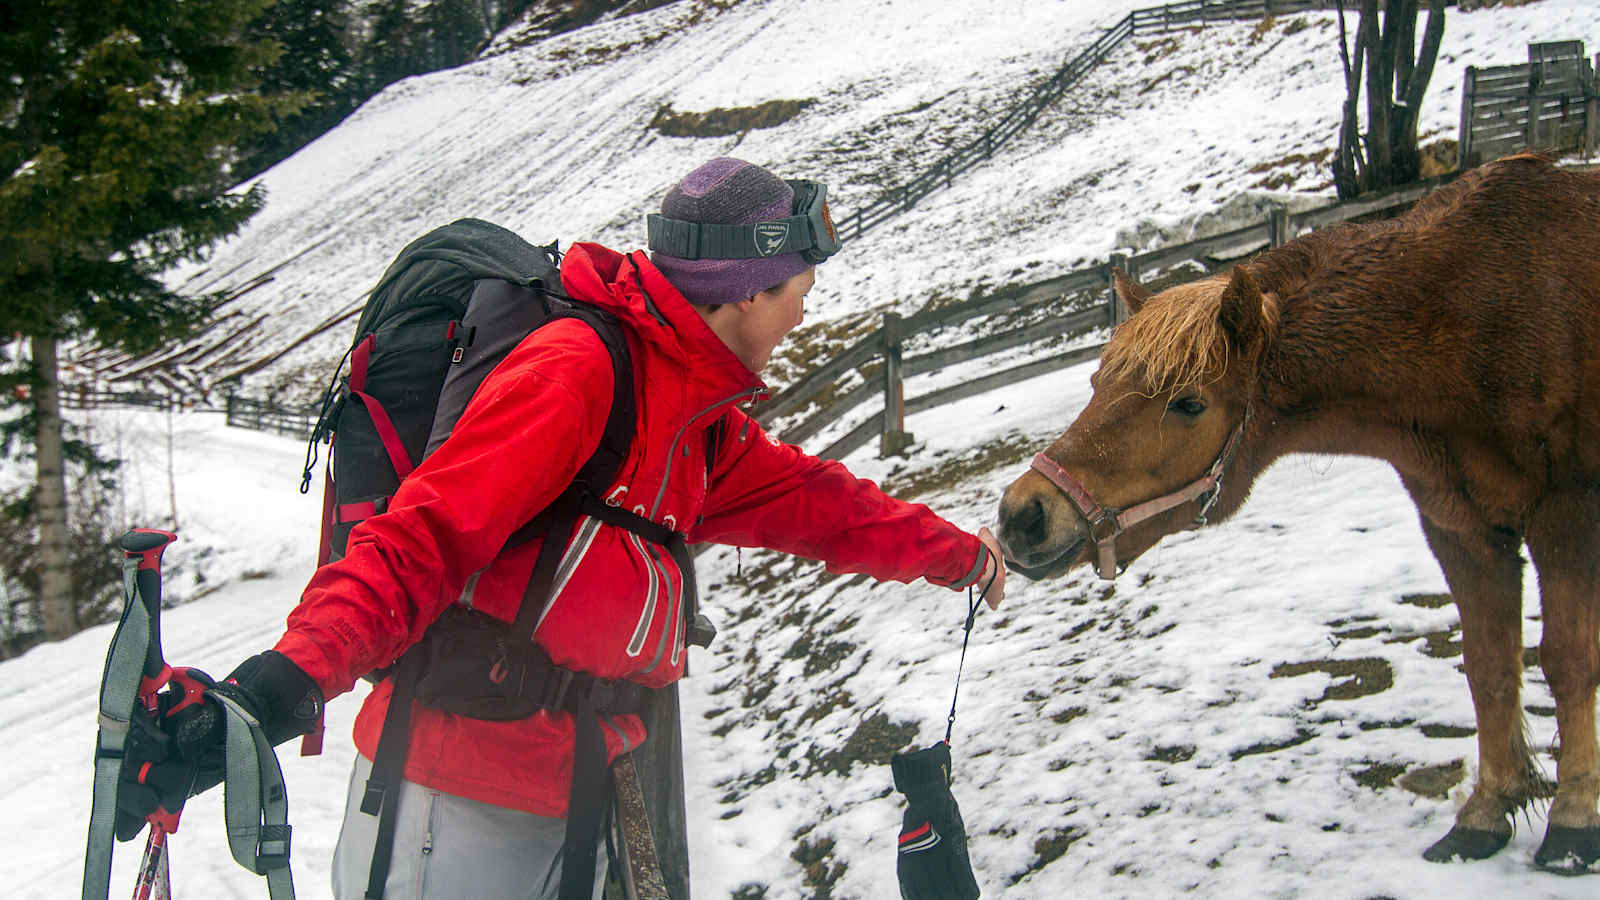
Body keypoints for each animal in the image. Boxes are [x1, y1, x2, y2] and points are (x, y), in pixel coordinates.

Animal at [992, 153, 1600, 871]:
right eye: (1095, 383)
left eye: (1189, 402)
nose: (1022, 515)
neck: (1472, 326)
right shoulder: (1461, 530)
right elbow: (1491, 668)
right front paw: (1485, 813)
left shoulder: (1568, 516)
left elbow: (1568, 661)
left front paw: (1574, 820)